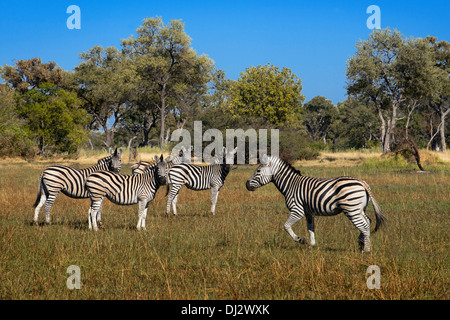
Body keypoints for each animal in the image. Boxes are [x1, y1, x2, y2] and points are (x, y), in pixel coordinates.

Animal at [244, 154, 384, 251]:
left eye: (258, 171)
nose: (246, 184)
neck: (290, 185)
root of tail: (362, 182)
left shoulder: (297, 210)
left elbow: (286, 226)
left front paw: (300, 240)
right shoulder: (308, 213)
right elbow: (310, 229)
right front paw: (311, 245)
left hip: (351, 209)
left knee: (364, 225)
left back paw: (366, 249)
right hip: (359, 209)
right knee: (368, 221)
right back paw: (362, 242)